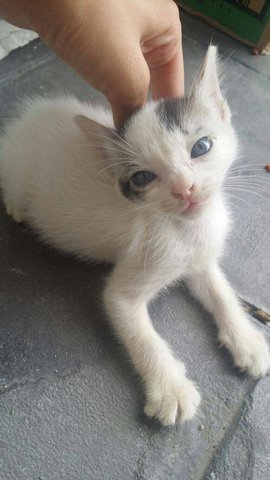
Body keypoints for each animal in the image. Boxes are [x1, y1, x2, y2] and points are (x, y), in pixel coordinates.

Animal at [0, 47, 270, 426]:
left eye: (201, 147)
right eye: (143, 178)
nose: (184, 189)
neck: (185, 228)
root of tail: (25, 119)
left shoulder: (201, 258)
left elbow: (220, 292)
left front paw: (247, 340)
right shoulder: (131, 280)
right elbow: (138, 330)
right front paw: (171, 391)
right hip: (14, 170)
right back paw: (16, 206)